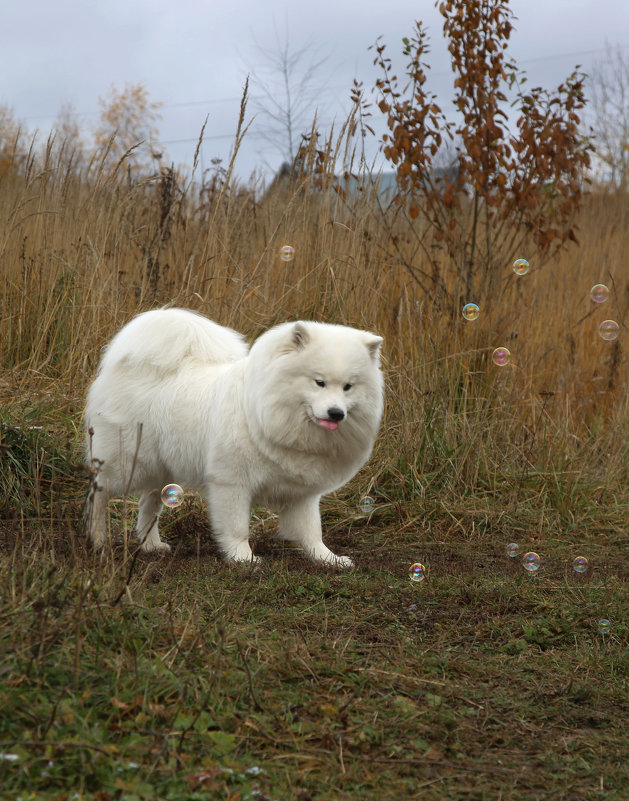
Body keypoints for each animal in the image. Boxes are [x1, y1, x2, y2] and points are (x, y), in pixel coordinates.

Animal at [84, 306, 382, 564]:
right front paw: (243, 558)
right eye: (319, 382)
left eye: (348, 387)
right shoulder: (232, 482)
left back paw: (151, 545)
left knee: (149, 504)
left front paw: (328, 558)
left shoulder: (302, 494)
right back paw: (96, 539)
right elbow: (237, 527)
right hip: (127, 465)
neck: (268, 415)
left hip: (163, 468)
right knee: (99, 492)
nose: (336, 413)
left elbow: (311, 531)